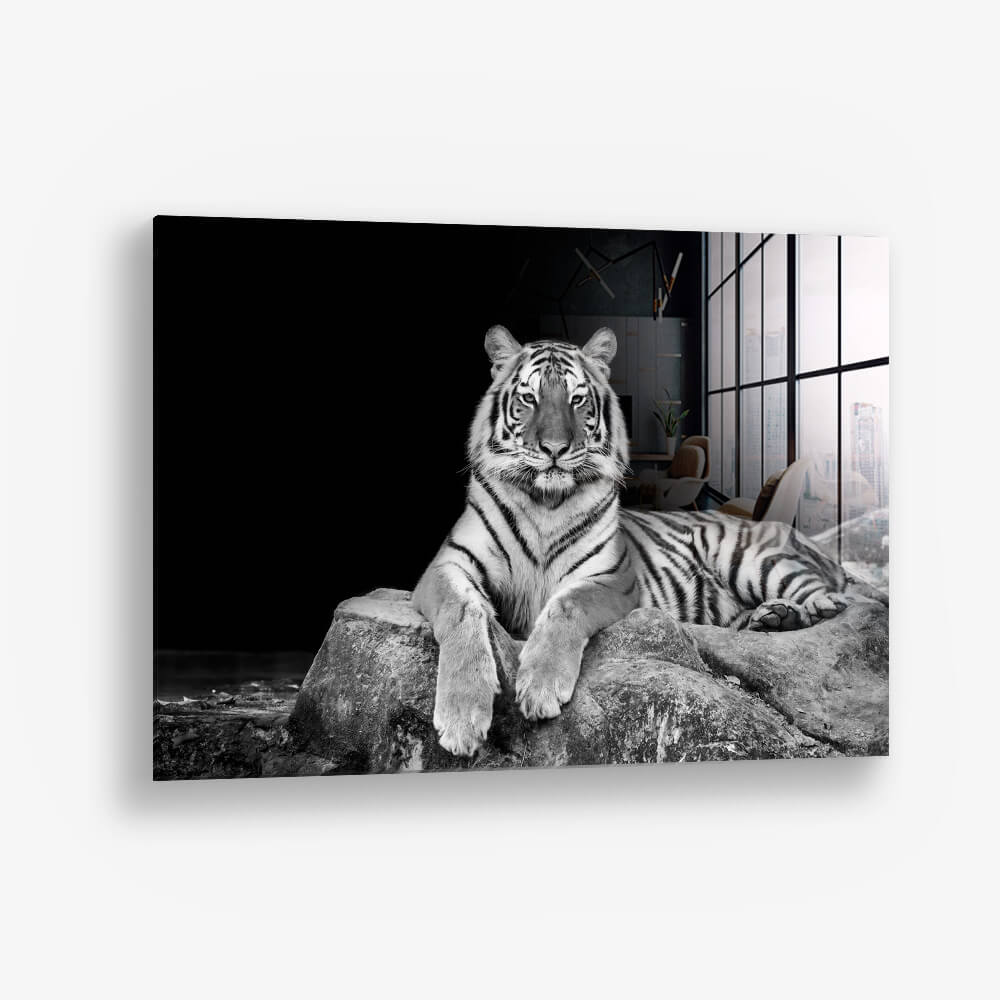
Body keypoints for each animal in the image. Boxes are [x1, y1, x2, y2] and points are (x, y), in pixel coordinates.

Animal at [413, 325, 852, 757]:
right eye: (528, 398)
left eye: (577, 400)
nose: (554, 449)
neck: (545, 503)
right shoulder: (447, 565)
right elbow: (461, 611)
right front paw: (461, 716)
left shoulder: (612, 577)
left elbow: (567, 605)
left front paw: (540, 685)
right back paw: (772, 617)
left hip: (748, 558)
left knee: (823, 593)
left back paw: (809, 607)